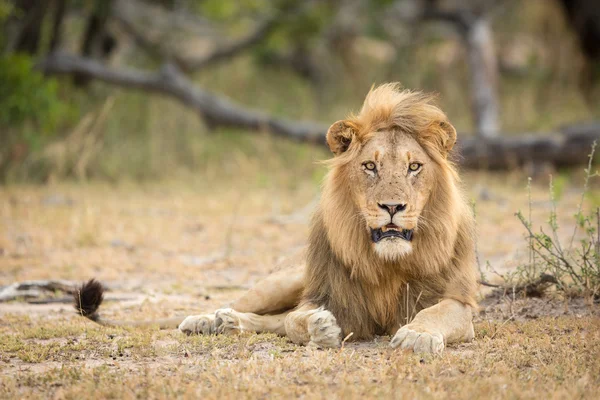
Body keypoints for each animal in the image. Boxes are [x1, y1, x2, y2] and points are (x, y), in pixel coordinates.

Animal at [75, 83, 478, 354]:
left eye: (414, 167)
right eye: (369, 166)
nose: (392, 206)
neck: (388, 264)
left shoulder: (459, 303)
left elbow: (436, 314)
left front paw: (417, 335)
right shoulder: (325, 296)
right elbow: (295, 320)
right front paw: (319, 330)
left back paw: (226, 323)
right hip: (285, 279)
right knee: (255, 307)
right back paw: (205, 320)